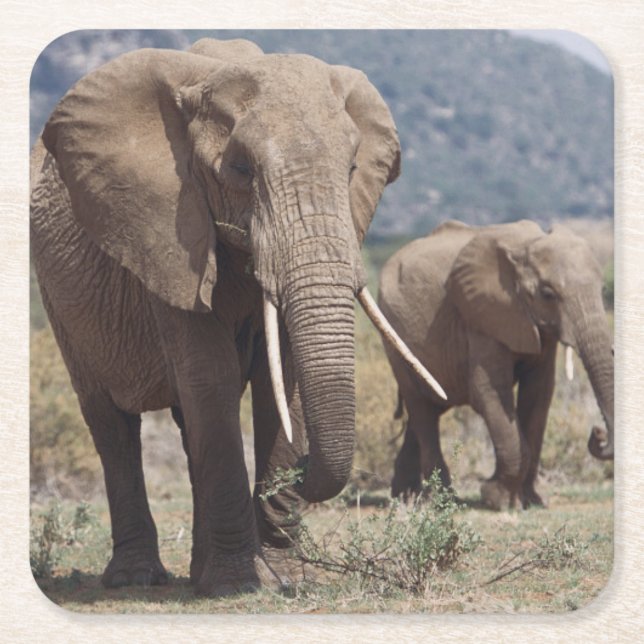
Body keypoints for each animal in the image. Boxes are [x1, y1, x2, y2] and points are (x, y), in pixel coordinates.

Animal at [30, 38, 444, 597]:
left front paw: (285, 579)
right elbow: (212, 377)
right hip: (62, 302)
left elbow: (281, 382)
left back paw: (199, 573)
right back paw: (139, 579)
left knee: (187, 425)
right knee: (111, 421)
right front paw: (238, 585)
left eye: (353, 169)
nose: (303, 472)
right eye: (242, 171)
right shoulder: (168, 236)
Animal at [377, 219, 614, 510]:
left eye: (602, 290)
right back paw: (442, 501)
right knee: (421, 407)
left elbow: (539, 394)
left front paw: (531, 501)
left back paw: (405, 497)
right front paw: (498, 500)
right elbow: (489, 392)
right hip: (393, 335)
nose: (597, 432)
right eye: (548, 294)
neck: (527, 245)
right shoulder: (483, 318)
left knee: (428, 408)